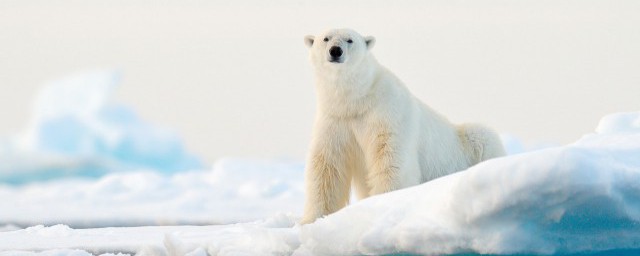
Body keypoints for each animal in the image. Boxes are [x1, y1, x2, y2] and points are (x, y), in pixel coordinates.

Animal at [300, 29, 504, 223]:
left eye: (350, 40)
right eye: (326, 38)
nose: (335, 51)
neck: (357, 100)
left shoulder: (387, 112)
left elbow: (390, 157)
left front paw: (384, 202)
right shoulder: (335, 120)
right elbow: (327, 166)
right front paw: (311, 219)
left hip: (470, 143)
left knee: (482, 137)